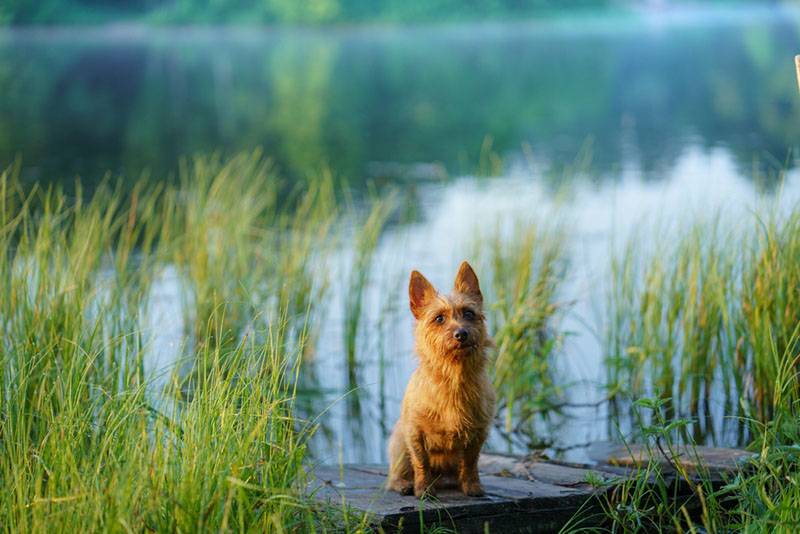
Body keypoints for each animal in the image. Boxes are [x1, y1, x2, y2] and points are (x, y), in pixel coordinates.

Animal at [386, 262, 494, 500]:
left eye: (469, 313)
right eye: (439, 318)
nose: (461, 334)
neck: (453, 377)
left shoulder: (478, 432)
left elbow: (471, 462)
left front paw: (472, 487)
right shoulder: (414, 433)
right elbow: (421, 462)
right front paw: (423, 489)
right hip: (399, 442)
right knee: (394, 475)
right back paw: (404, 484)